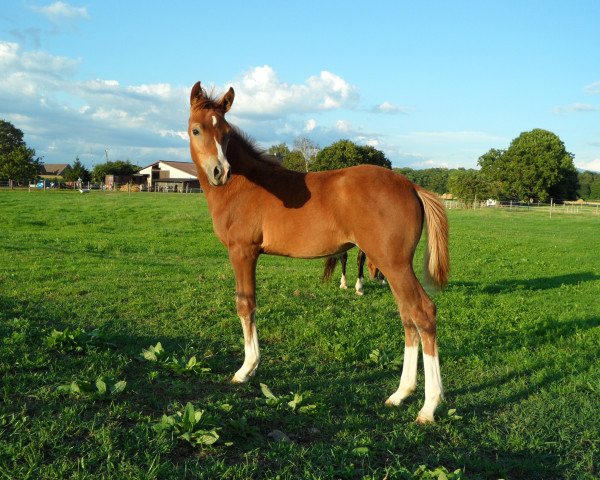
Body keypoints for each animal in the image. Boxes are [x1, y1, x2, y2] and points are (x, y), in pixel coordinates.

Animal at [189, 80, 450, 422]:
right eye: (196, 129)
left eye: (227, 133)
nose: (220, 171)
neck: (244, 187)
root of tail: (412, 186)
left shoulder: (242, 251)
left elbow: (246, 305)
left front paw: (246, 369)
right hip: (392, 267)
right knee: (408, 316)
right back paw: (400, 394)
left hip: (395, 264)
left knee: (422, 313)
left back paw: (428, 406)